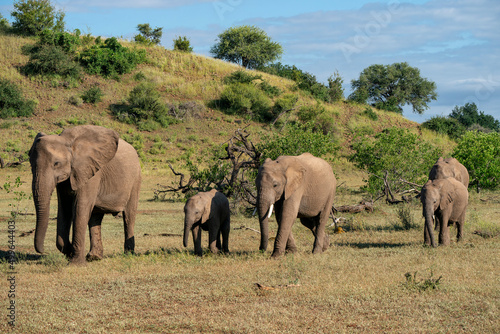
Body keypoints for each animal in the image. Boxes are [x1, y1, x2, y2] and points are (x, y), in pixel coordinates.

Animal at [29, 124, 142, 264]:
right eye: (31, 164)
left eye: (56, 164)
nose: (42, 250)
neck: (68, 142)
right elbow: (64, 208)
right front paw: (69, 251)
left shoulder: (90, 172)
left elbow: (79, 207)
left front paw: (74, 263)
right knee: (95, 217)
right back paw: (94, 257)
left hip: (135, 179)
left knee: (128, 216)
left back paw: (128, 254)